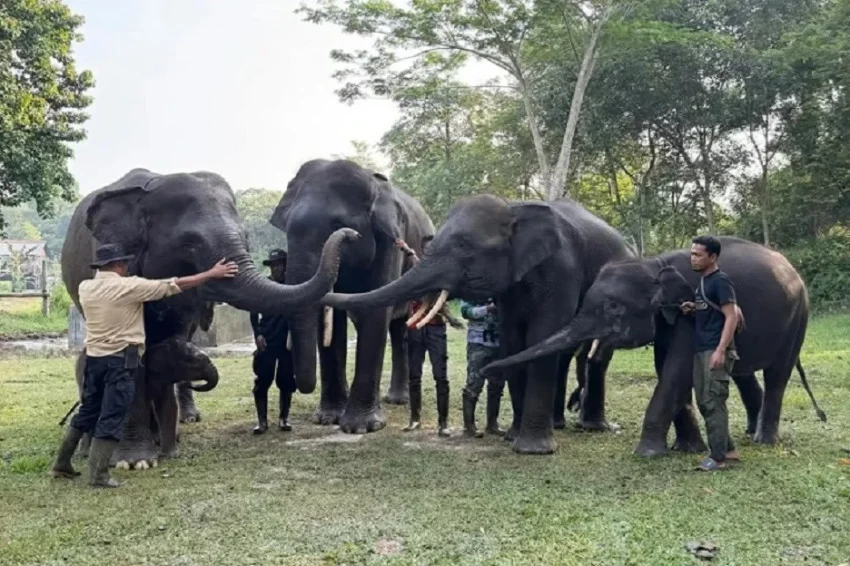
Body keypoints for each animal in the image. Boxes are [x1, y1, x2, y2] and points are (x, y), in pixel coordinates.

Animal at [61, 168, 358, 468]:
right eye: (189, 244)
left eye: (245, 237)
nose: (352, 234)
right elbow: (132, 356)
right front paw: (134, 462)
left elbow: (173, 341)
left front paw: (158, 448)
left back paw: (183, 422)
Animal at [269, 159, 435, 433]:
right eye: (288, 228)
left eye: (338, 225)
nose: (350, 235)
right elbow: (332, 322)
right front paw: (327, 419)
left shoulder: (391, 241)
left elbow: (376, 310)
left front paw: (361, 427)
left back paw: (398, 401)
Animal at [324, 194, 635, 453]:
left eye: (463, 247)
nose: (351, 234)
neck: (513, 209)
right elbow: (513, 341)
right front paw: (512, 437)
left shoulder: (563, 272)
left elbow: (540, 338)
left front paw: (533, 450)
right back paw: (559, 425)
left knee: (595, 354)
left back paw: (592, 427)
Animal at [482, 236, 827, 456]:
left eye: (614, 308)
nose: (486, 367)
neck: (653, 264)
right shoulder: (671, 319)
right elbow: (668, 369)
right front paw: (687, 449)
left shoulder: (690, 316)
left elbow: (677, 370)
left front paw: (647, 453)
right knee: (743, 374)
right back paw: (741, 438)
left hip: (799, 318)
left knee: (778, 375)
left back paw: (763, 442)